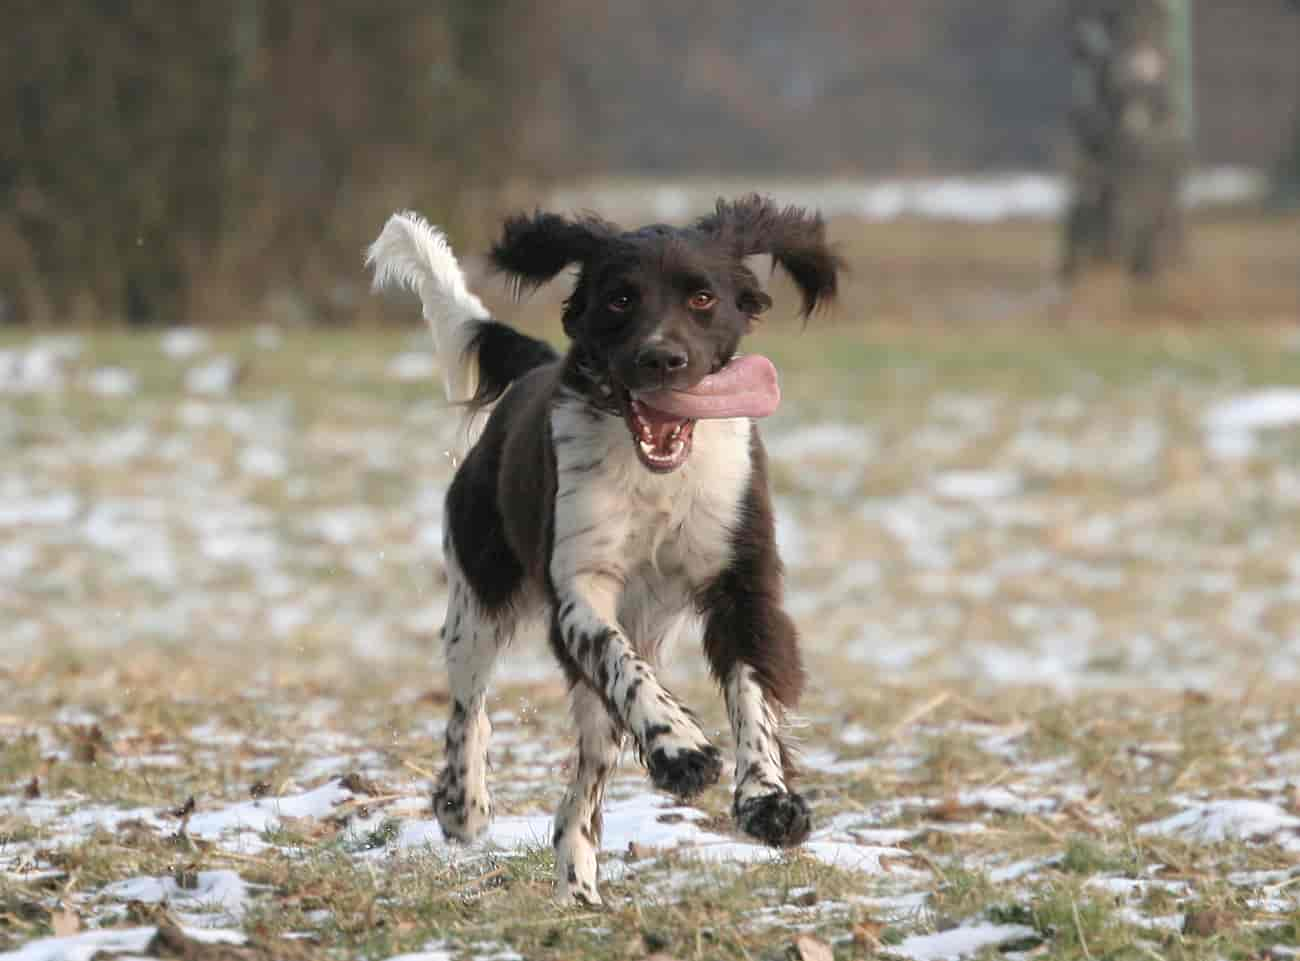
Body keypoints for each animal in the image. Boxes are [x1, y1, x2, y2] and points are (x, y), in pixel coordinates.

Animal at [364, 198, 842, 905]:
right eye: (620, 299)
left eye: (703, 297)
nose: (662, 359)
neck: (660, 476)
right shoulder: (578, 585)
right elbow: (619, 663)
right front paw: (680, 749)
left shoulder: (744, 580)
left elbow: (752, 689)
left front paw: (767, 800)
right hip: (479, 593)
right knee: (470, 706)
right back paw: (463, 803)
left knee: (582, 792)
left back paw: (579, 887)